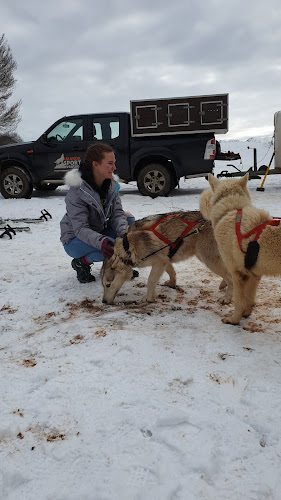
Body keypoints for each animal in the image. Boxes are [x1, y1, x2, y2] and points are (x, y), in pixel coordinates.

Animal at [99, 210, 231, 304]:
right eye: (103, 285)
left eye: (108, 285)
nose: (103, 301)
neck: (127, 247)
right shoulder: (165, 259)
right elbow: (172, 272)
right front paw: (172, 284)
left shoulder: (158, 262)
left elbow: (151, 280)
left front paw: (148, 298)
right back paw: (224, 285)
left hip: (208, 258)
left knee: (230, 276)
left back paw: (227, 298)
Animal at [203, 174, 280, 326]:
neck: (232, 210)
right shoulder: (254, 275)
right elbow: (249, 298)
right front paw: (246, 313)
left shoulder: (238, 274)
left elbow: (238, 301)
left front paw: (233, 320)